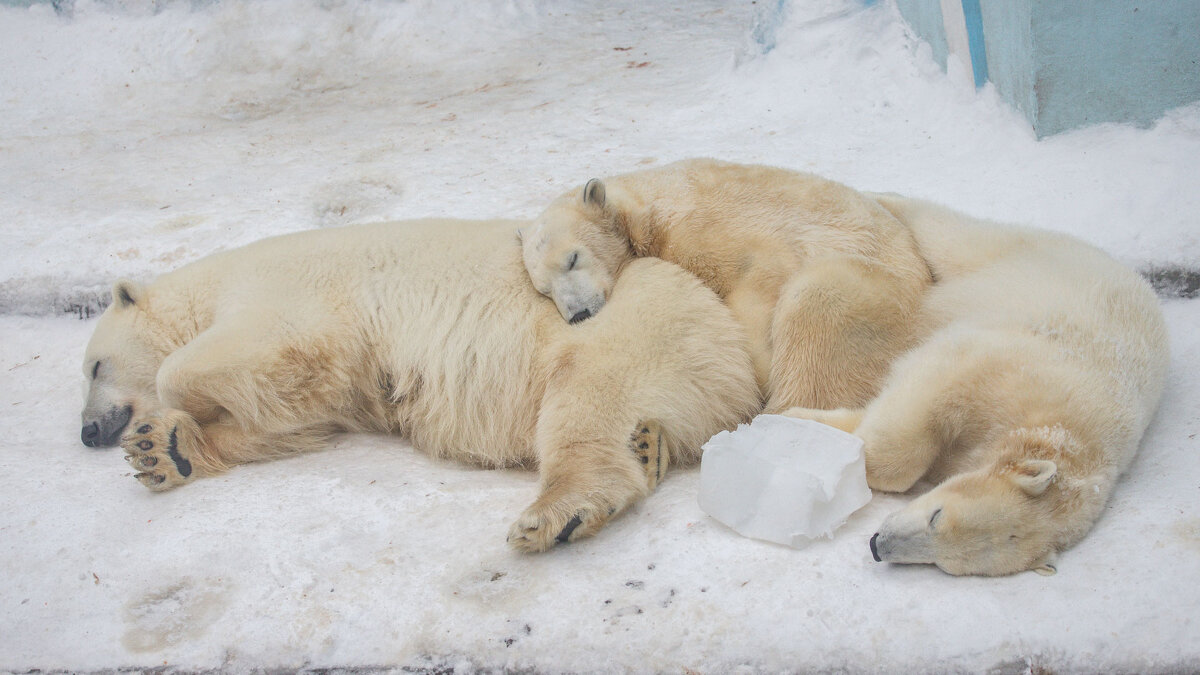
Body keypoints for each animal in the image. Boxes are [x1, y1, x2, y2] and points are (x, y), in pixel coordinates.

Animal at [79, 218, 758, 550]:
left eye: (92, 367)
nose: (87, 431)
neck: (211, 284)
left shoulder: (286, 296)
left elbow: (260, 353)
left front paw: (171, 415)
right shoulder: (335, 380)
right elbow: (301, 409)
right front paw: (162, 450)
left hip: (629, 328)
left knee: (586, 403)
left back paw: (555, 515)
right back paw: (650, 449)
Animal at [520, 158, 931, 410]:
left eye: (573, 258)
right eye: (544, 288)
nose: (578, 314)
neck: (642, 207)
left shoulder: (698, 227)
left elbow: (762, 268)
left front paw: (757, 366)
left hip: (885, 292)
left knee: (819, 302)